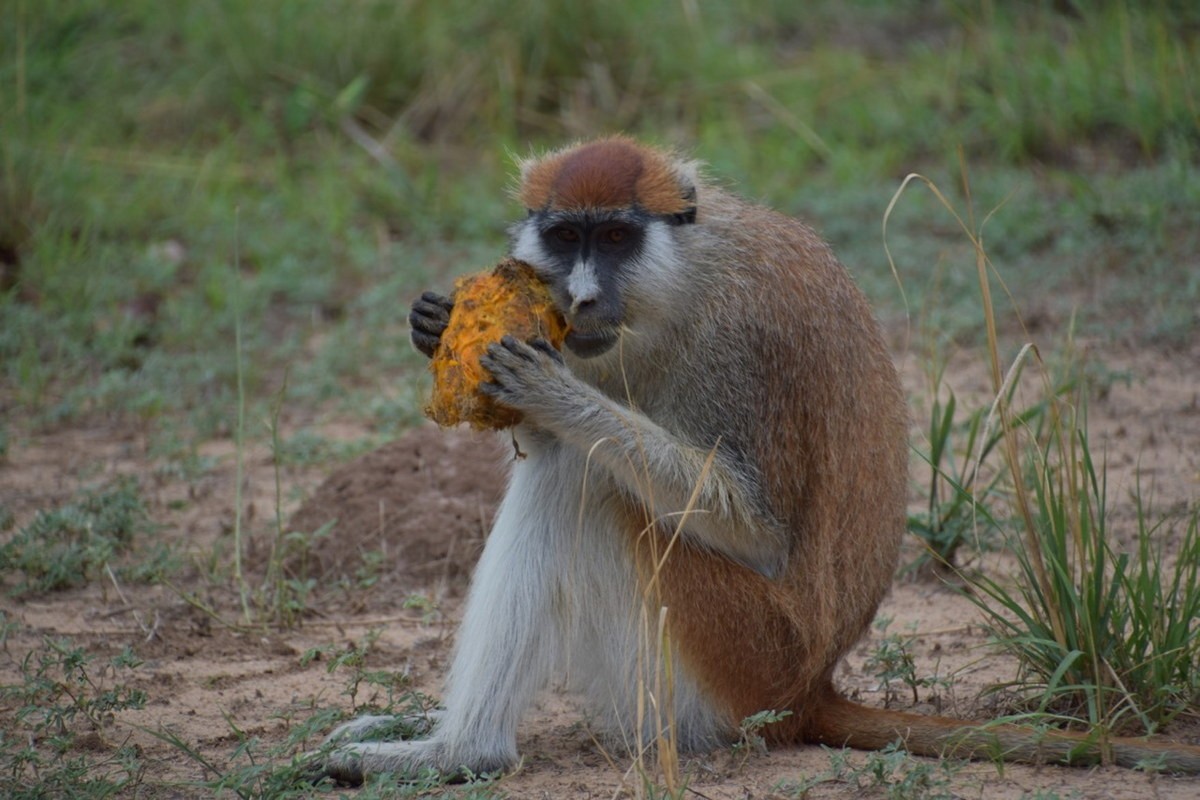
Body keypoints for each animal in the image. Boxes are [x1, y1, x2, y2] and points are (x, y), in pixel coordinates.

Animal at [319, 136, 1200, 782]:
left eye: (616, 237)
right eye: (565, 236)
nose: (582, 296)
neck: (682, 278)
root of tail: (809, 688)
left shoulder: (741, 342)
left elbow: (753, 526)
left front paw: (550, 392)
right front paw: (436, 322)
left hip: (729, 655)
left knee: (578, 482)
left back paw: (462, 751)